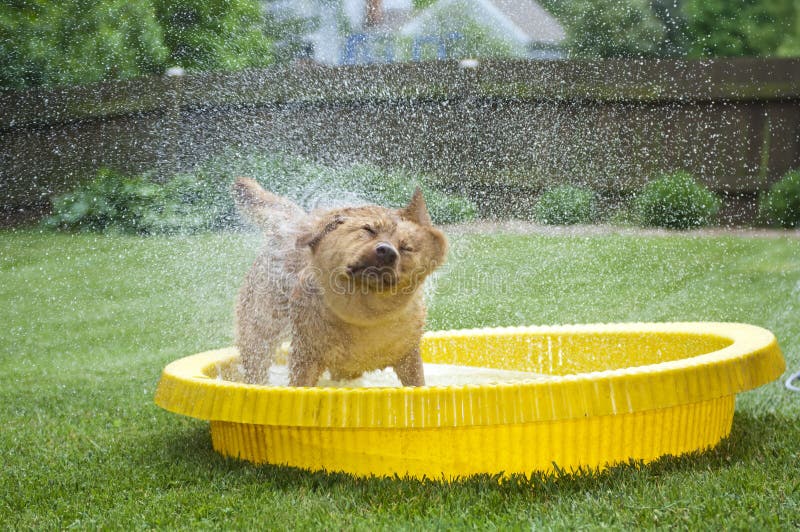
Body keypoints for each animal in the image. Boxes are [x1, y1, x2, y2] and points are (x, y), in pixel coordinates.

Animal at [233, 178, 450, 386]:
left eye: (406, 248)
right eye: (369, 229)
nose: (387, 251)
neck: (364, 315)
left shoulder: (408, 357)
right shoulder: (306, 357)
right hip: (258, 333)